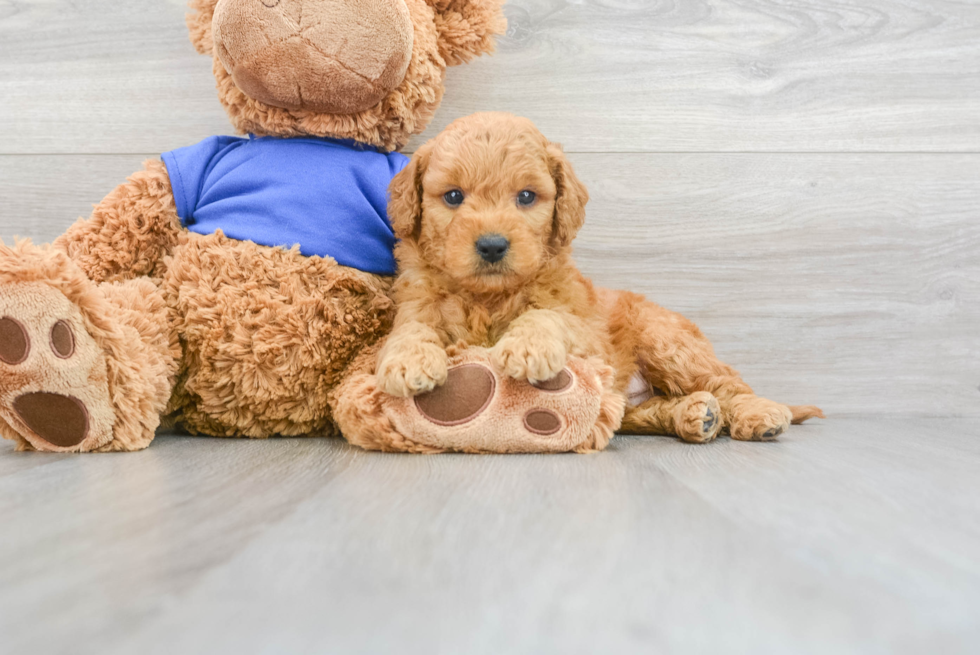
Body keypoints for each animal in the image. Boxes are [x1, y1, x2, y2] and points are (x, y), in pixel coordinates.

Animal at [374, 114, 820, 452]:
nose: (492, 245)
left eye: (526, 197)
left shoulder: (589, 336)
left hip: (668, 343)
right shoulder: (418, 302)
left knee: (729, 383)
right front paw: (409, 359)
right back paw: (695, 415)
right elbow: (411, 328)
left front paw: (528, 345)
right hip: (635, 396)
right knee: (639, 411)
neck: (488, 296)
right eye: (452, 197)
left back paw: (757, 413)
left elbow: (550, 316)